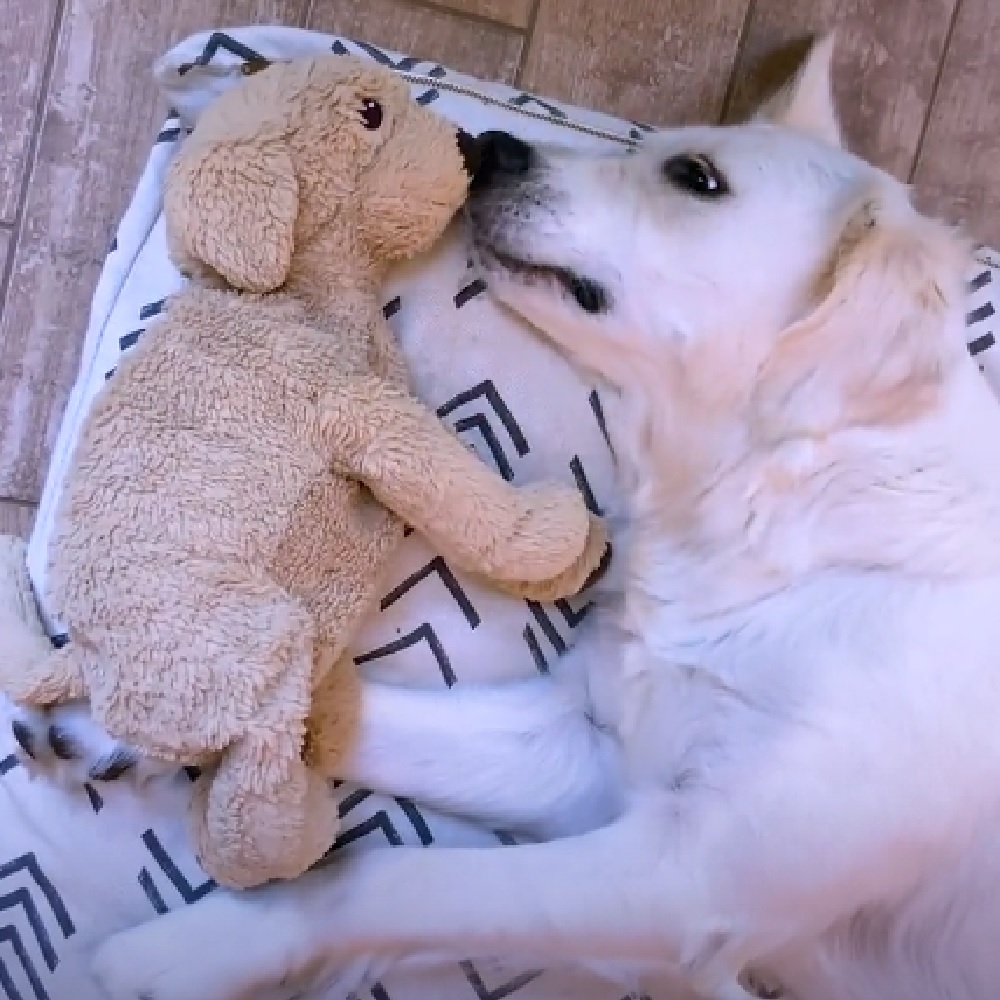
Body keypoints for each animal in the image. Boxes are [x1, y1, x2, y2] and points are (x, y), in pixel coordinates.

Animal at [15, 35, 1000, 1000]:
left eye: (697, 178)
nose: (487, 147)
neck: (788, 503)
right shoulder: (592, 747)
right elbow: (347, 712)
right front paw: (132, 714)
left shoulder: (691, 877)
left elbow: (388, 878)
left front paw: (195, 948)